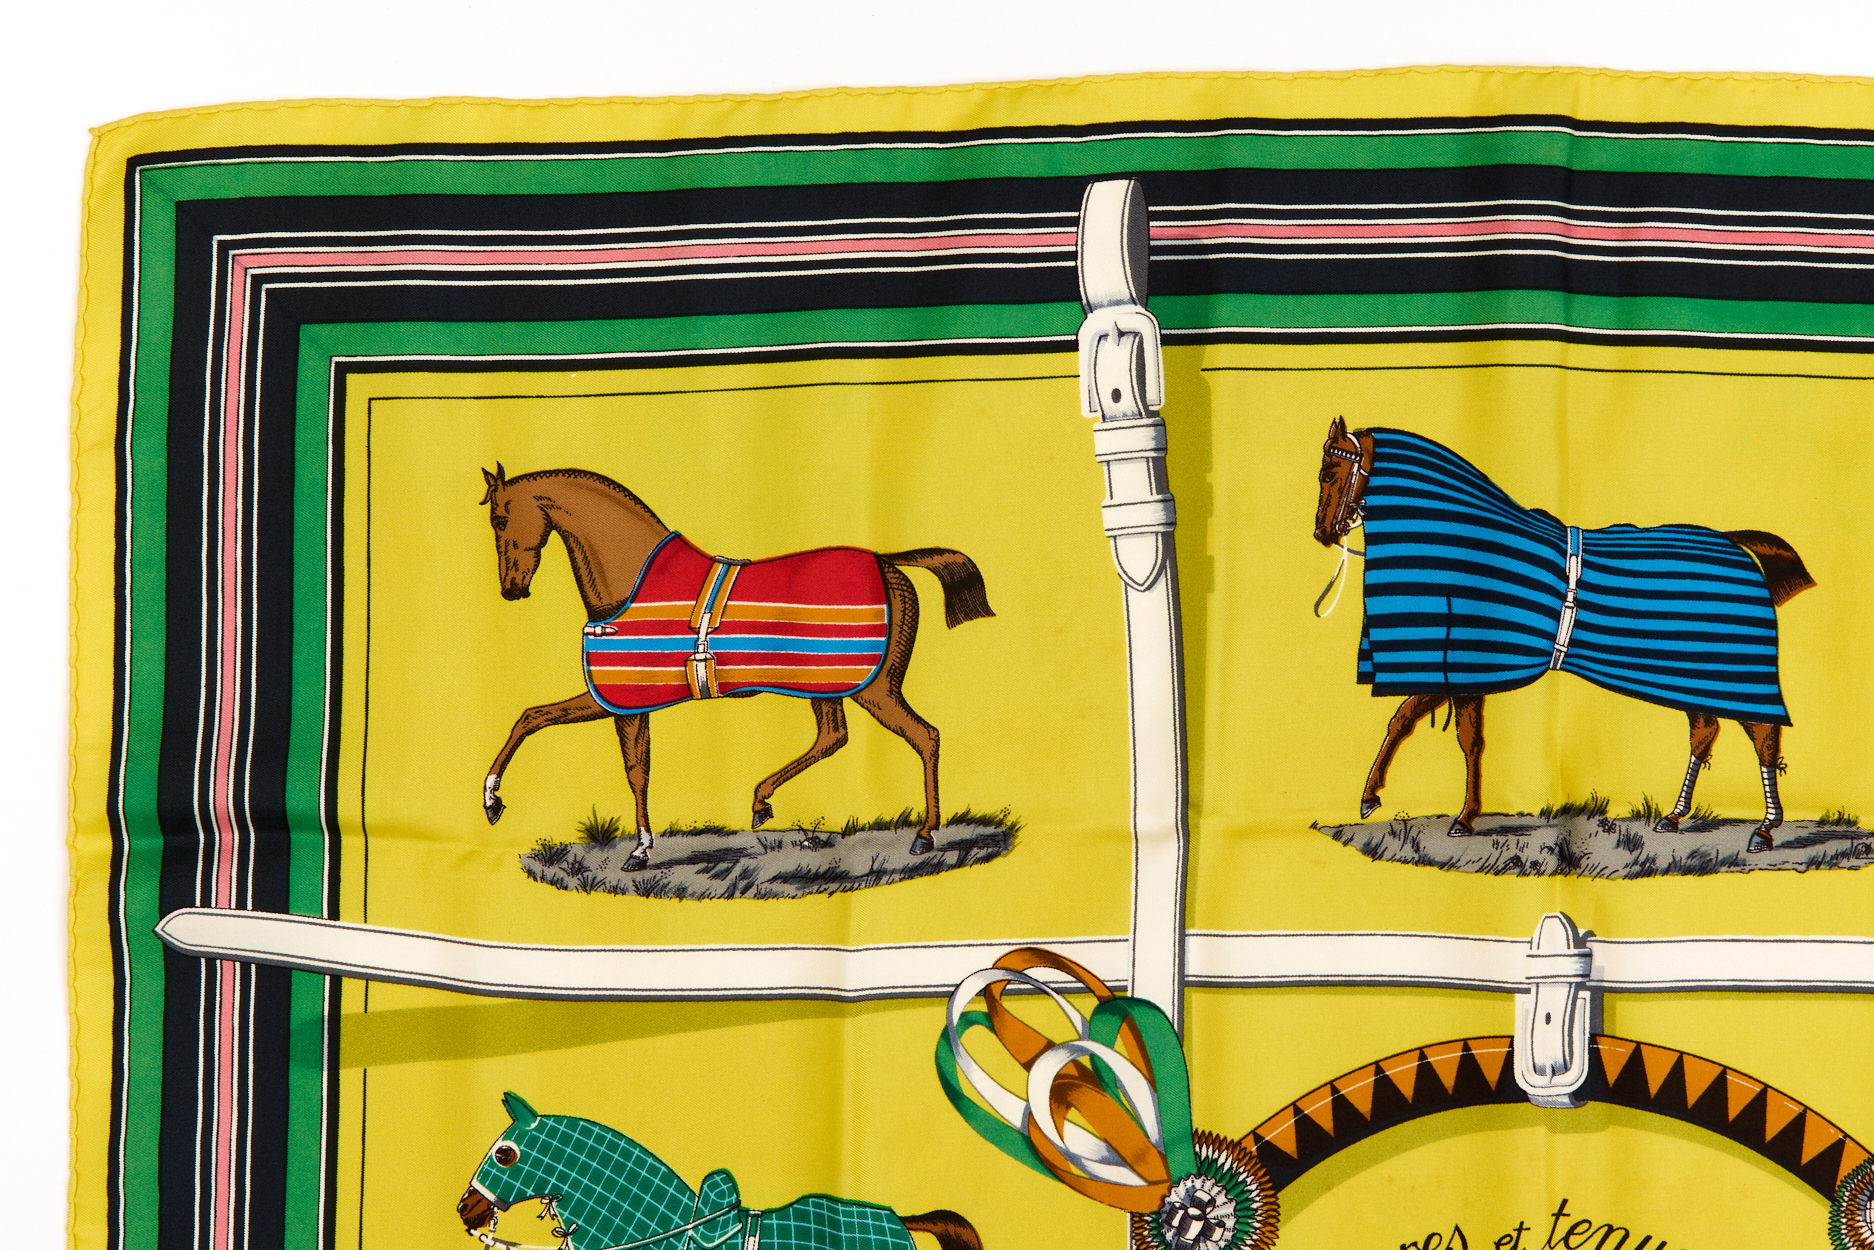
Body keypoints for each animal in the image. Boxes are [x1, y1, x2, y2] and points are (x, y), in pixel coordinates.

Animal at [480, 465, 993, 869]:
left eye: (500, 519)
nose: (510, 589)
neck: (631, 577)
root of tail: (888, 563)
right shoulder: (621, 702)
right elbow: (548, 724)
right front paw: (494, 801)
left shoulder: (619, 700)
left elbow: (620, 762)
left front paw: (638, 849)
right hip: (828, 686)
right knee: (835, 736)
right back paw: (762, 803)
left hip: (875, 687)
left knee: (925, 736)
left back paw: (924, 836)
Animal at [1313, 417, 1815, 853]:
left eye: (1331, 472)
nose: (1322, 532)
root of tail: (1735, 543)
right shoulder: (1456, 669)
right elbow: (1415, 723)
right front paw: (1388, 799)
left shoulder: (1466, 667)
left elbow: (1453, 735)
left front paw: (1446, 813)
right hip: (1694, 675)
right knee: (1705, 732)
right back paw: (1675, 816)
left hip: (1732, 674)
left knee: (1764, 737)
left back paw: (1765, 828)